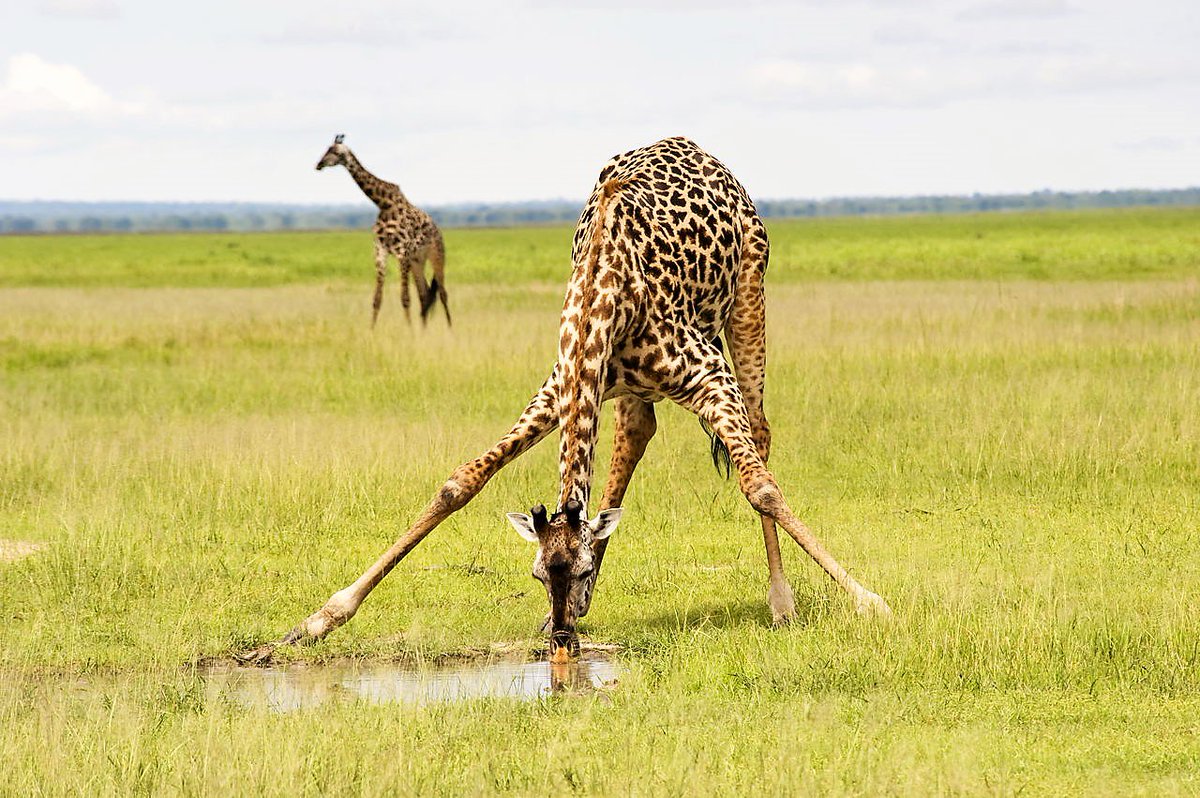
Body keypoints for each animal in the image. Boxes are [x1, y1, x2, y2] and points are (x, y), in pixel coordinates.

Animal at [316, 134, 451, 326]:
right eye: (327, 149)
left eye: (334, 151)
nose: (319, 164)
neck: (383, 203)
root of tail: (438, 230)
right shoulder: (380, 251)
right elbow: (377, 299)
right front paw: (372, 329)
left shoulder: (402, 253)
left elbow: (405, 298)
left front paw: (409, 330)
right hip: (417, 260)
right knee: (424, 294)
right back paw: (424, 329)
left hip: (436, 255)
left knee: (442, 293)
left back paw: (450, 329)